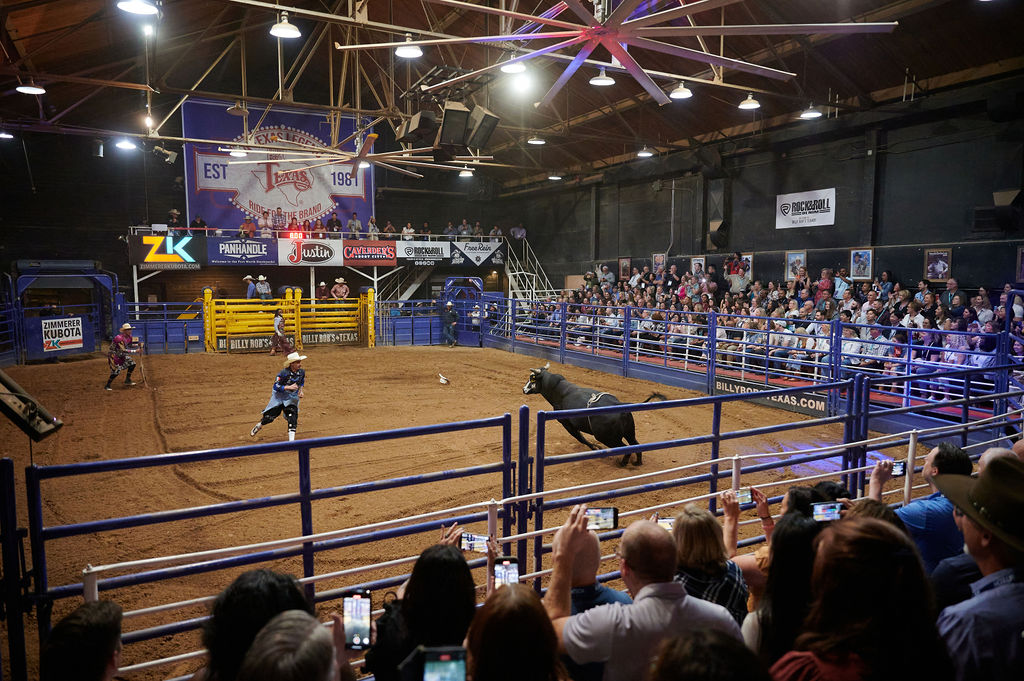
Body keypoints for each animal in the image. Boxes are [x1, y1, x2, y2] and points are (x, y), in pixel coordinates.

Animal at [524, 366, 667, 466]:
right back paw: (637, 462)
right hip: (629, 432)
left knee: (626, 448)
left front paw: (595, 447)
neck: (558, 390)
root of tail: (619, 405)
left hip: (608, 438)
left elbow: (580, 438)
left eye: (532, 378)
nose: (524, 389)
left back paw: (622, 463)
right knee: (636, 445)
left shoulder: (566, 423)